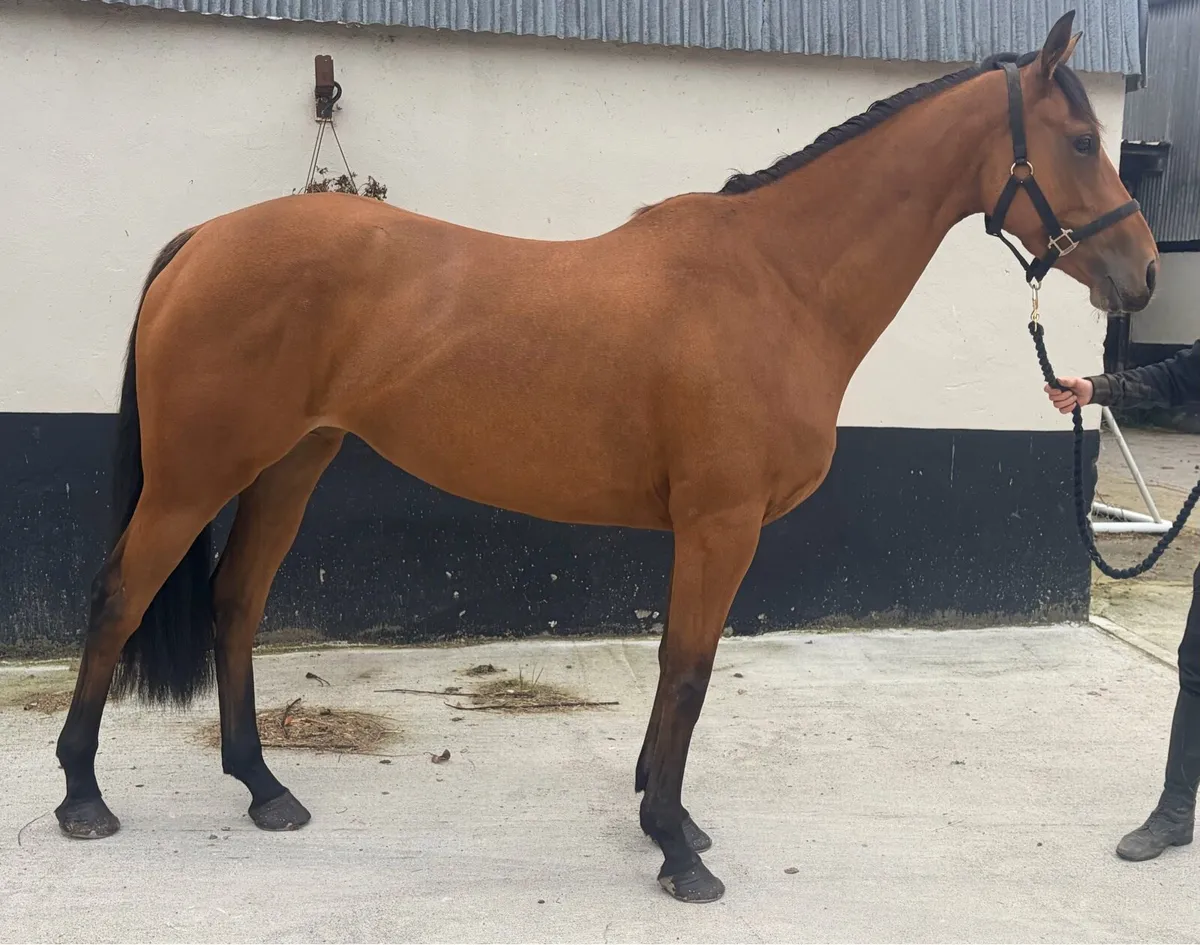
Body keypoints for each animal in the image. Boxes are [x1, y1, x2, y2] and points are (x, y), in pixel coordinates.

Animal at [54, 10, 1157, 904]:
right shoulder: (719, 525)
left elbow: (679, 668)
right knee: (118, 596)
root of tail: (203, 239)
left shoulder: (704, 530)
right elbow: (689, 669)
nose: (1142, 274)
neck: (777, 282)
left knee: (236, 603)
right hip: (193, 479)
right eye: (1078, 140)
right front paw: (674, 847)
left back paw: (264, 788)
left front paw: (671, 820)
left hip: (290, 466)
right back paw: (81, 796)